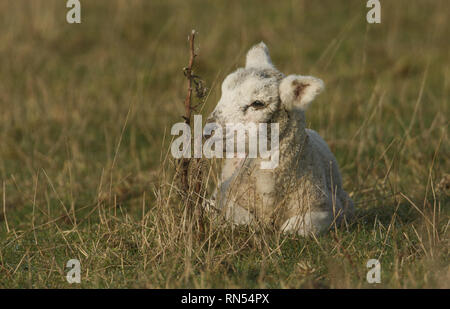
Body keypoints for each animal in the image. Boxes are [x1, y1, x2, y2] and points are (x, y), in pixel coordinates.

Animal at [205, 42, 356, 236]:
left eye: (258, 103)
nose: (207, 131)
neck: (269, 194)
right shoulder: (225, 199)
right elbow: (245, 221)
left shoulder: (327, 209)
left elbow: (294, 229)